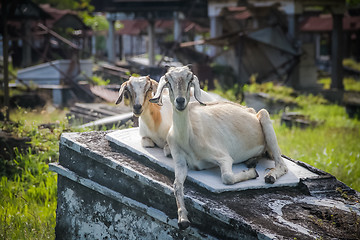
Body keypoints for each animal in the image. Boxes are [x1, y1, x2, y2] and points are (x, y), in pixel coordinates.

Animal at [150, 65, 288, 229]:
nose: (180, 101)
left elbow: (227, 177)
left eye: (190, 80)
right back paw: (252, 161)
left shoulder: (223, 157)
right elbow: (177, 184)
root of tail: (250, 111)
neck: (188, 138)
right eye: (169, 82)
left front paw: (252, 173)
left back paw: (269, 176)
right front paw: (183, 219)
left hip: (265, 118)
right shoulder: (179, 160)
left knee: (282, 164)